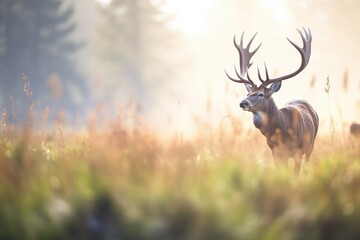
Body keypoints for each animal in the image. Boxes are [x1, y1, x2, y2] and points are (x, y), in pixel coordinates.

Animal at [226, 27, 320, 174]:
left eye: (260, 94)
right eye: (248, 92)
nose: (243, 103)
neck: (283, 132)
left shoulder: (298, 151)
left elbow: (295, 175)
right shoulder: (275, 151)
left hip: (311, 144)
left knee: (307, 165)